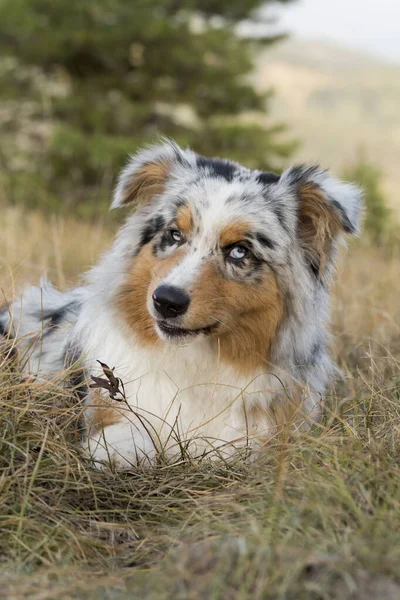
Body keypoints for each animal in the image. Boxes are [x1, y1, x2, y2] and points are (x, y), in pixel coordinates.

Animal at [0, 141, 360, 468]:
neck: (196, 361)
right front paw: (118, 449)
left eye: (239, 251)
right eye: (174, 234)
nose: (166, 302)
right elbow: (132, 437)